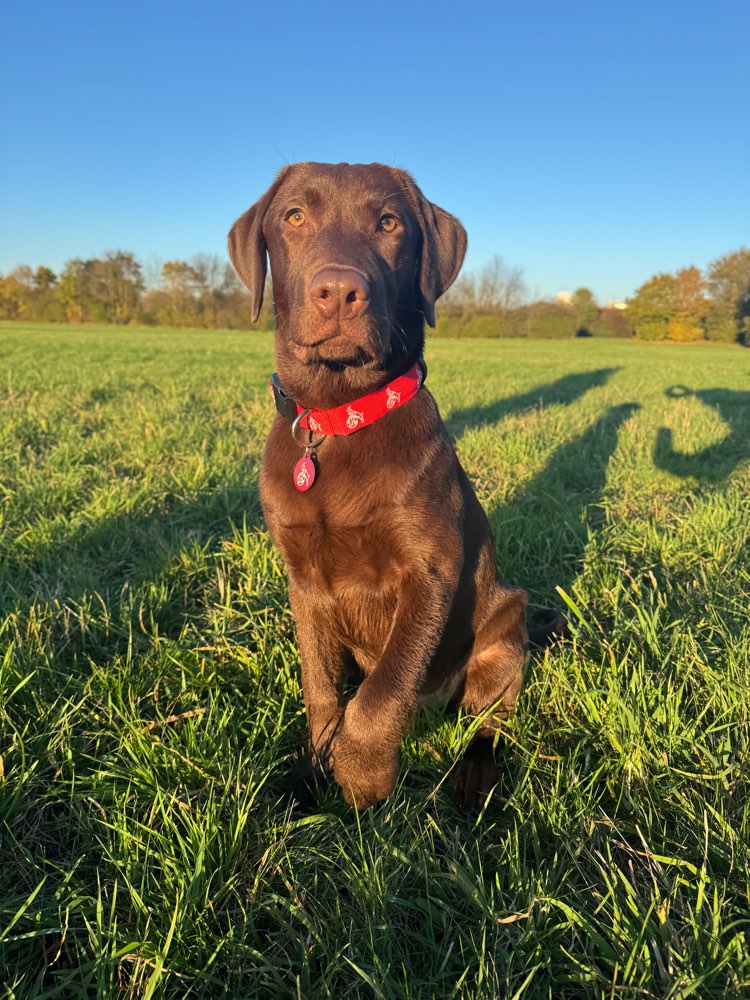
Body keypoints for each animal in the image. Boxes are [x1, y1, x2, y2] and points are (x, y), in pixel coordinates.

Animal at [229, 160, 528, 808]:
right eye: (294, 216)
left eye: (390, 223)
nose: (339, 290)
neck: (338, 417)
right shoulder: (303, 581)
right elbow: (320, 687)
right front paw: (313, 770)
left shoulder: (429, 571)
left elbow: (381, 693)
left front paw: (362, 782)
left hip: (504, 637)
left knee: (487, 721)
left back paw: (474, 776)